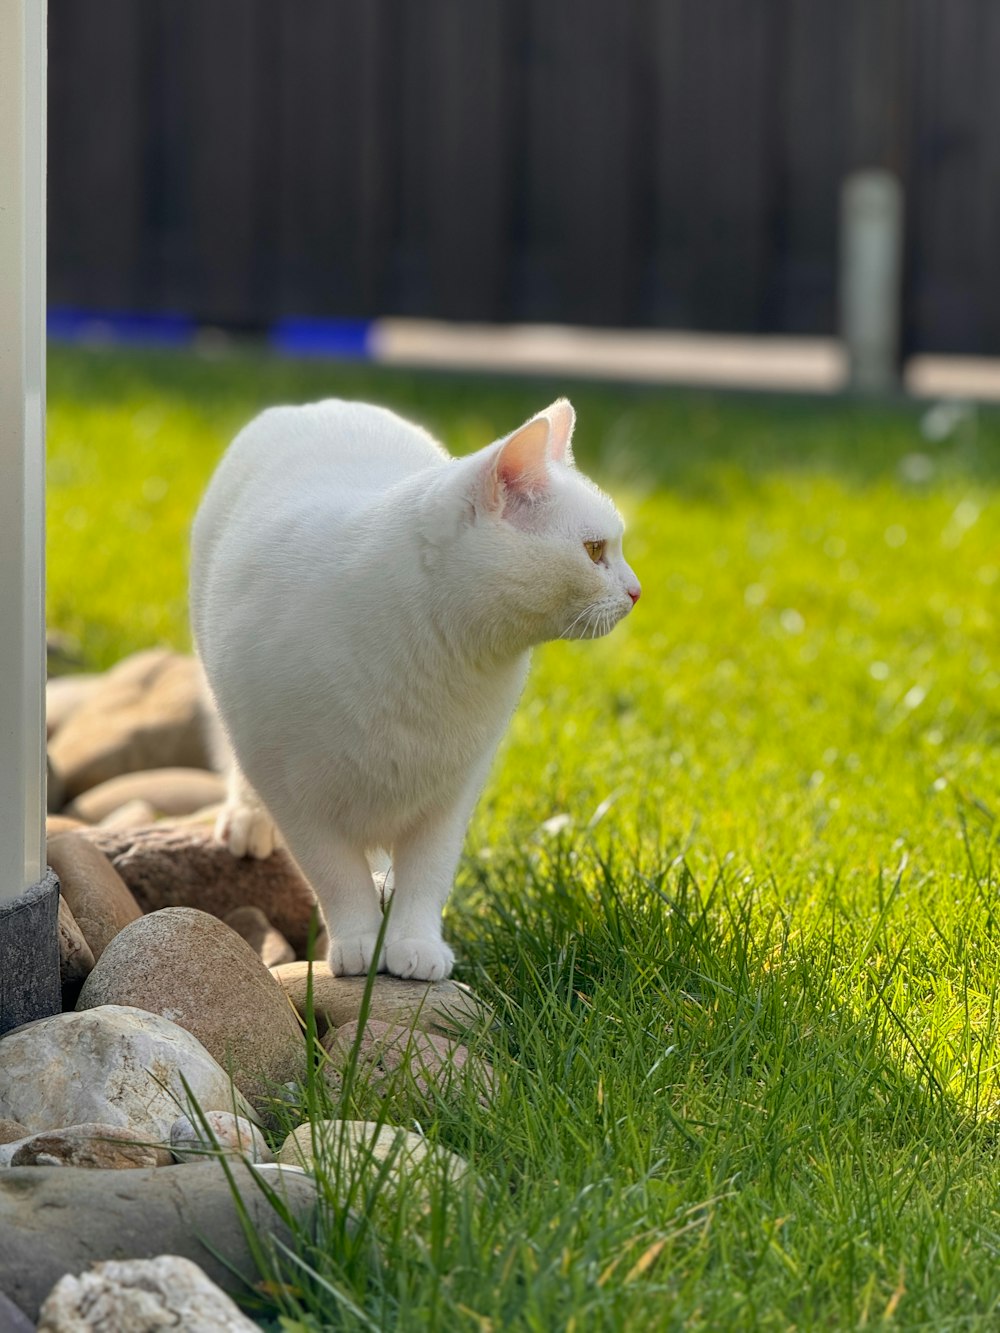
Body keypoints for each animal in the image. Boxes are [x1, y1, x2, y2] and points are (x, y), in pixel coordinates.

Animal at [189, 394, 642, 981]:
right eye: (593, 550)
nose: (637, 591)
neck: (437, 659)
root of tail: (318, 403)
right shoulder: (293, 795)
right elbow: (335, 874)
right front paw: (359, 941)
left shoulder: (453, 794)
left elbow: (427, 876)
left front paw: (414, 943)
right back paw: (247, 821)